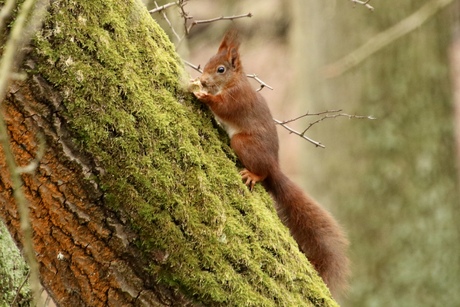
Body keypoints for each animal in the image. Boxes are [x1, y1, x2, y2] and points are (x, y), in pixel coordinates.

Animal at [191, 29, 348, 298]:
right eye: (208, 62)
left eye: (221, 69)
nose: (203, 80)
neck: (233, 82)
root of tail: (275, 166)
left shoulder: (237, 99)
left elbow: (223, 106)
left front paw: (204, 95)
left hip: (243, 144)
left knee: (262, 173)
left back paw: (254, 175)